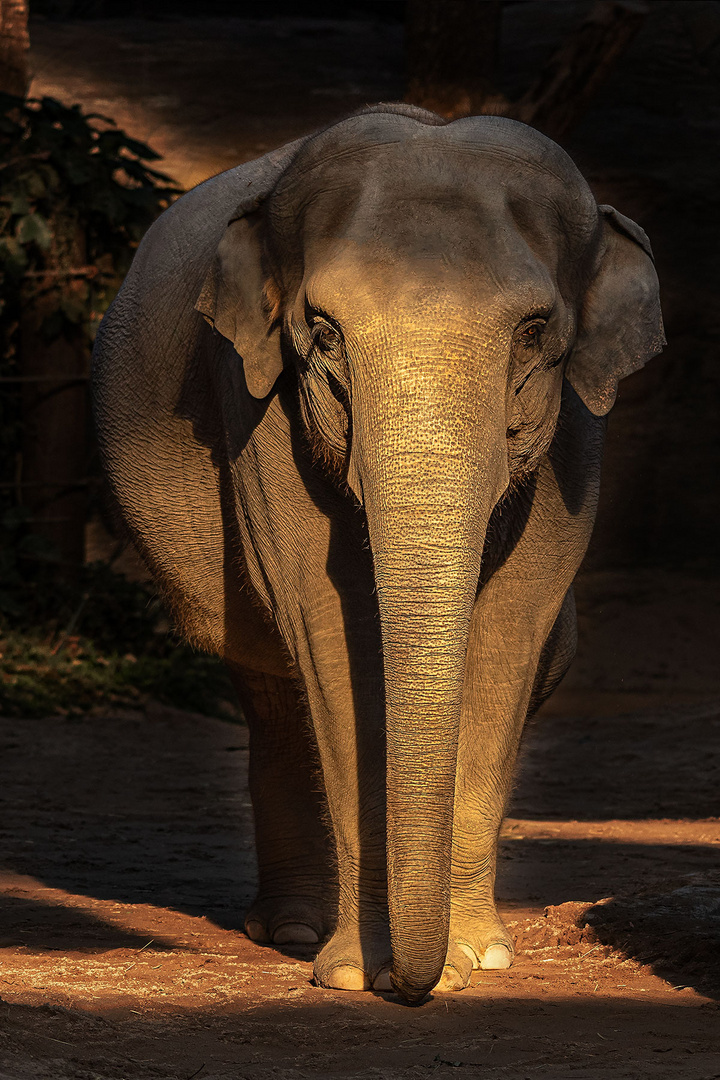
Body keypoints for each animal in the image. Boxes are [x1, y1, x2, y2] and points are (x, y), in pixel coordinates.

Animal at [90, 103, 664, 1002]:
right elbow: (328, 628)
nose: (413, 982)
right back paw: (292, 928)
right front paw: (360, 971)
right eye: (324, 334)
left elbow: (511, 630)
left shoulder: (579, 426)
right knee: (269, 685)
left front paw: (477, 960)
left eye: (534, 333)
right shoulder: (252, 395)